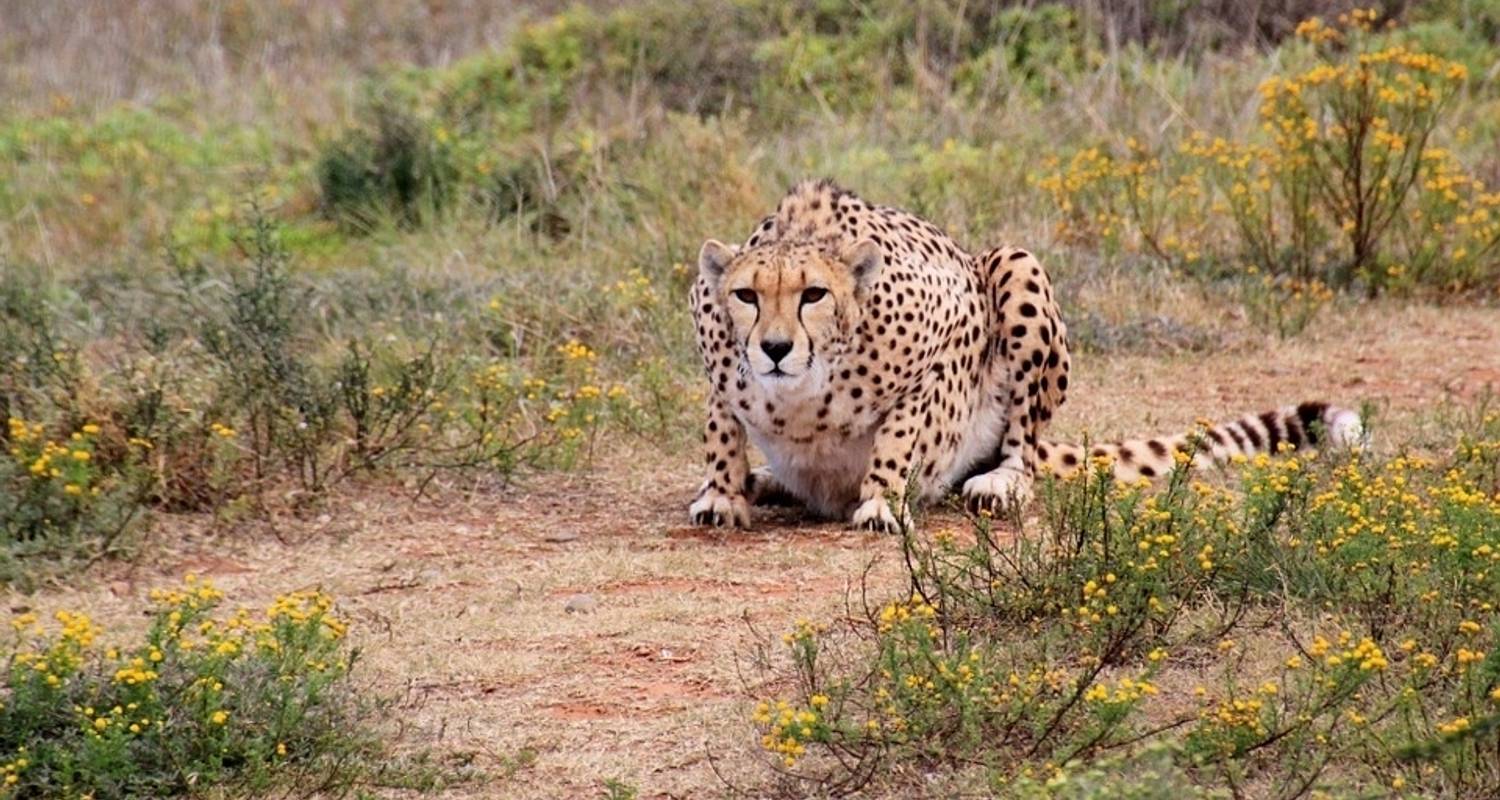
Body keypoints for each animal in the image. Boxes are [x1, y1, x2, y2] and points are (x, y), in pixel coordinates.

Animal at [687, 180, 1368, 531]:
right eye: (746, 295)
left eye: (814, 295)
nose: (775, 348)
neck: (802, 393)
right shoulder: (717, 360)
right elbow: (722, 428)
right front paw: (723, 493)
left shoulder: (950, 336)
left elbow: (903, 430)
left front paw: (880, 499)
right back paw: (764, 480)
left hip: (1016, 266)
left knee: (1023, 441)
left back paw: (1002, 482)